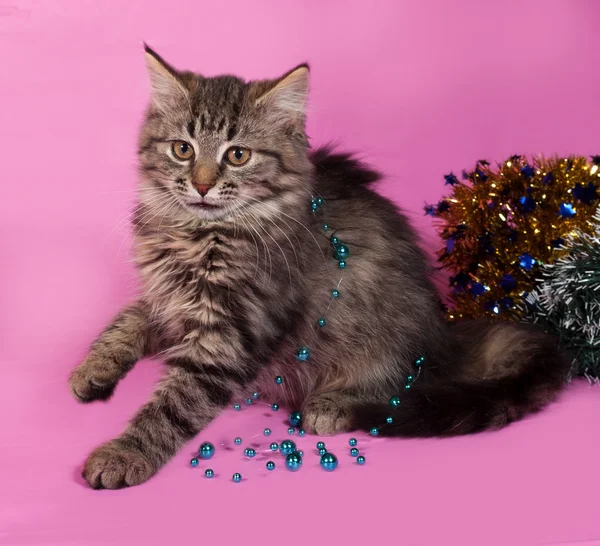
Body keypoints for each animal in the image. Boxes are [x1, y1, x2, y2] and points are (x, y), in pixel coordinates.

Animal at [68, 46, 568, 488]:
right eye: (182, 149)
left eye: (238, 155)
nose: (202, 185)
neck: (196, 234)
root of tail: (445, 335)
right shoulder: (169, 301)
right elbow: (126, 319)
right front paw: (93, 369)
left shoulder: (231, 333)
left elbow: (174, 404)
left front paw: (124, 454)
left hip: (379, 342)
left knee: (397, 388)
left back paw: (334, 405)